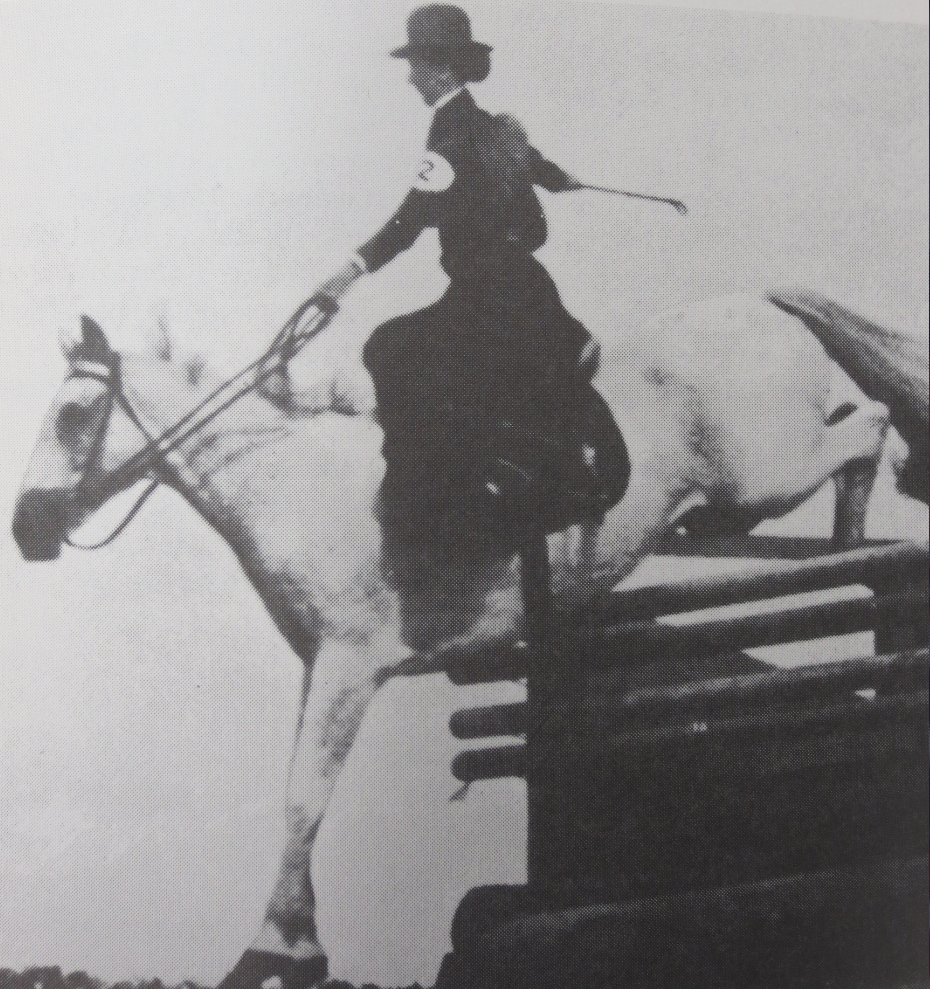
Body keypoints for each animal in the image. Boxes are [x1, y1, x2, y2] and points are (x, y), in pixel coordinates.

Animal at [10, 292, 888, 988]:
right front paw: (298, 941)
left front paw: (273, 952)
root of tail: (763, 306)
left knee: (870, 428)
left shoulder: (349, 668)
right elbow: (303, 798)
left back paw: (853, 535)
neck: (294, 482)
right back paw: (843, 544)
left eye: (73, 415)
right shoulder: (316, 669)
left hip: (766, 471)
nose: (26, 528)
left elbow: (302, 798)